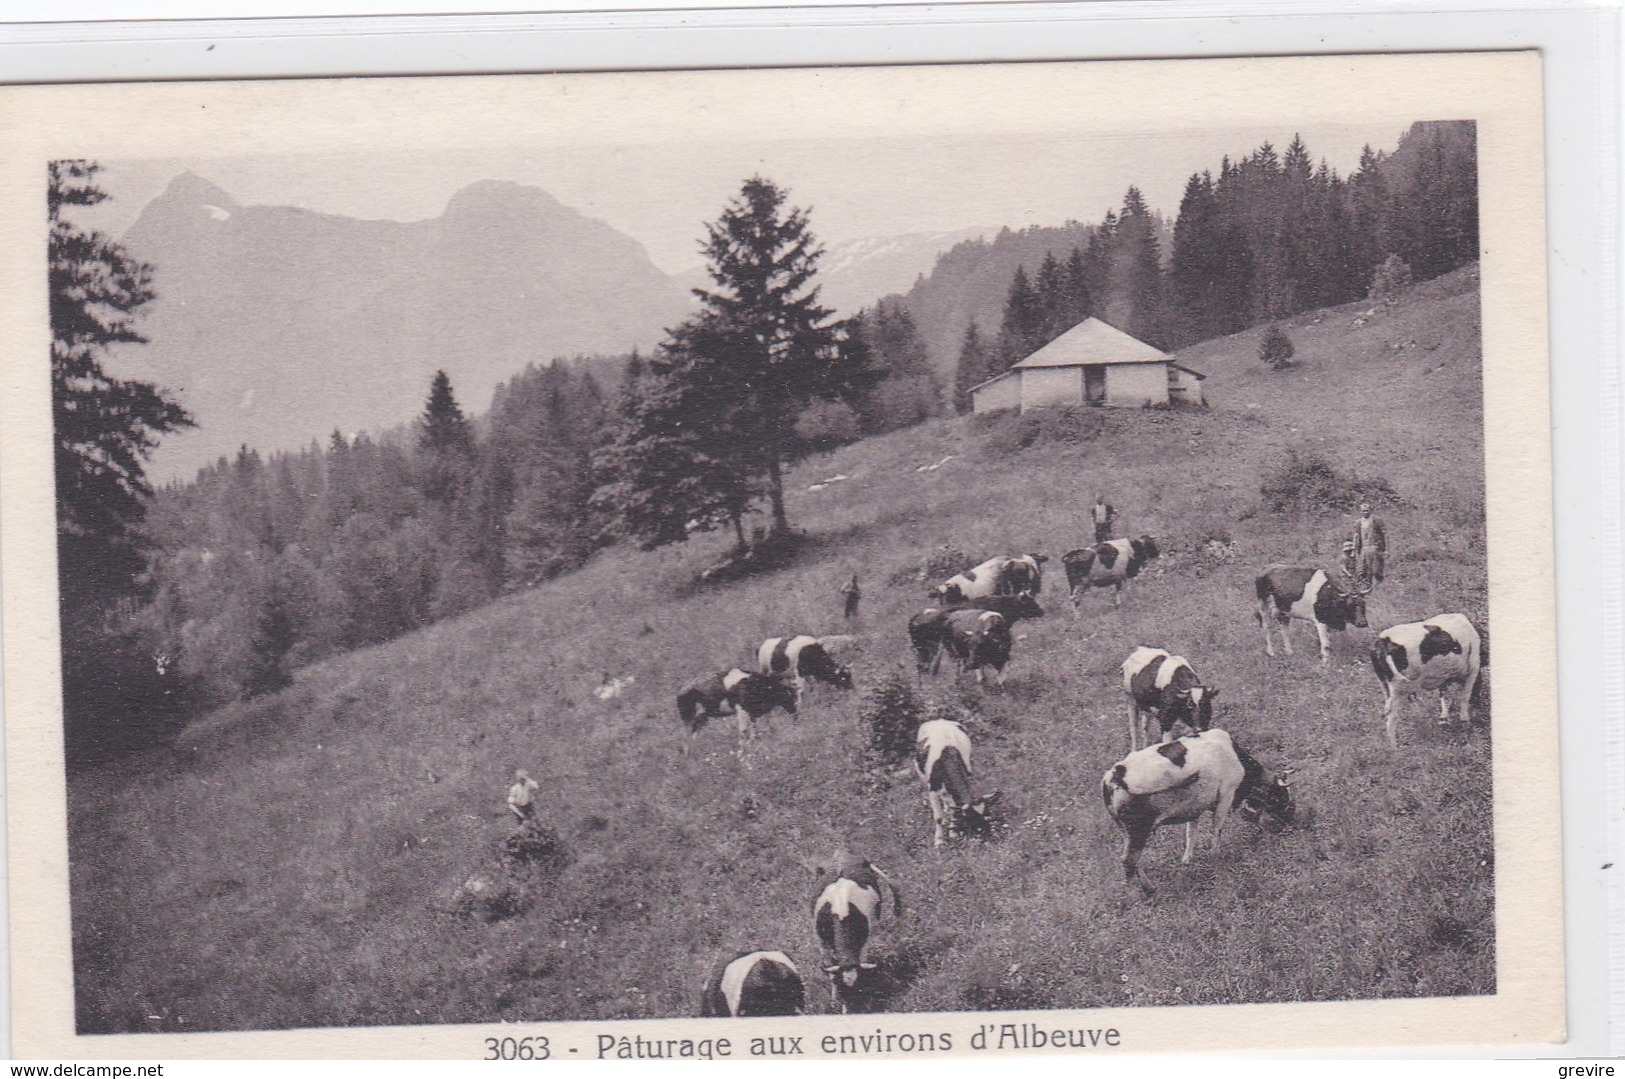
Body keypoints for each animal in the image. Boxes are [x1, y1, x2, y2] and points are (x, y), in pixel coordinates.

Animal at [1098, 728, 1300, 897]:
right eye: (1281, 796)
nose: (1292, 823)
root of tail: (1112, 777)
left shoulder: (1193, 808)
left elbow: (1191, 834)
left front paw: (1187, 860)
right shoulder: (1226, 795)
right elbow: (1216, 829)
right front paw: (1215, 857)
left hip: (1128, 832)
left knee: (1134, 860)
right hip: (1139, 830)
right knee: (1128, 860)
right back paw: (1143, 892)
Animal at [1371, 611, 1488, 747]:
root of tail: (1383, 640)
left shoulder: (1444, 675)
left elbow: (1443, 694)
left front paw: (1444, 719)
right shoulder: (1473, 669)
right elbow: (1465, 696)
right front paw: (1465, 720)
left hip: (1385, 685)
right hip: (1399, 689)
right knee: (1392, 718)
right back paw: (1394, 748)